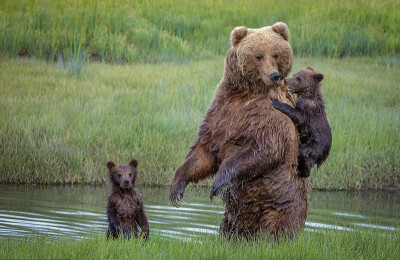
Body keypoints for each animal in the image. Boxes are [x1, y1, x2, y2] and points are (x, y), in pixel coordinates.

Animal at [170, 22, 310, 240]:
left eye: (276, 54)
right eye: (259, 55)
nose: (274, 75)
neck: (245, 93)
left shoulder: (271, 115)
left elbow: (265, 150)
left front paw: (217, 183)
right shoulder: (221, 111)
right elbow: (204, 151)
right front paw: (176, 189)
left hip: (281, 201)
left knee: (278, 225)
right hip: (232, 217)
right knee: (229, 228)